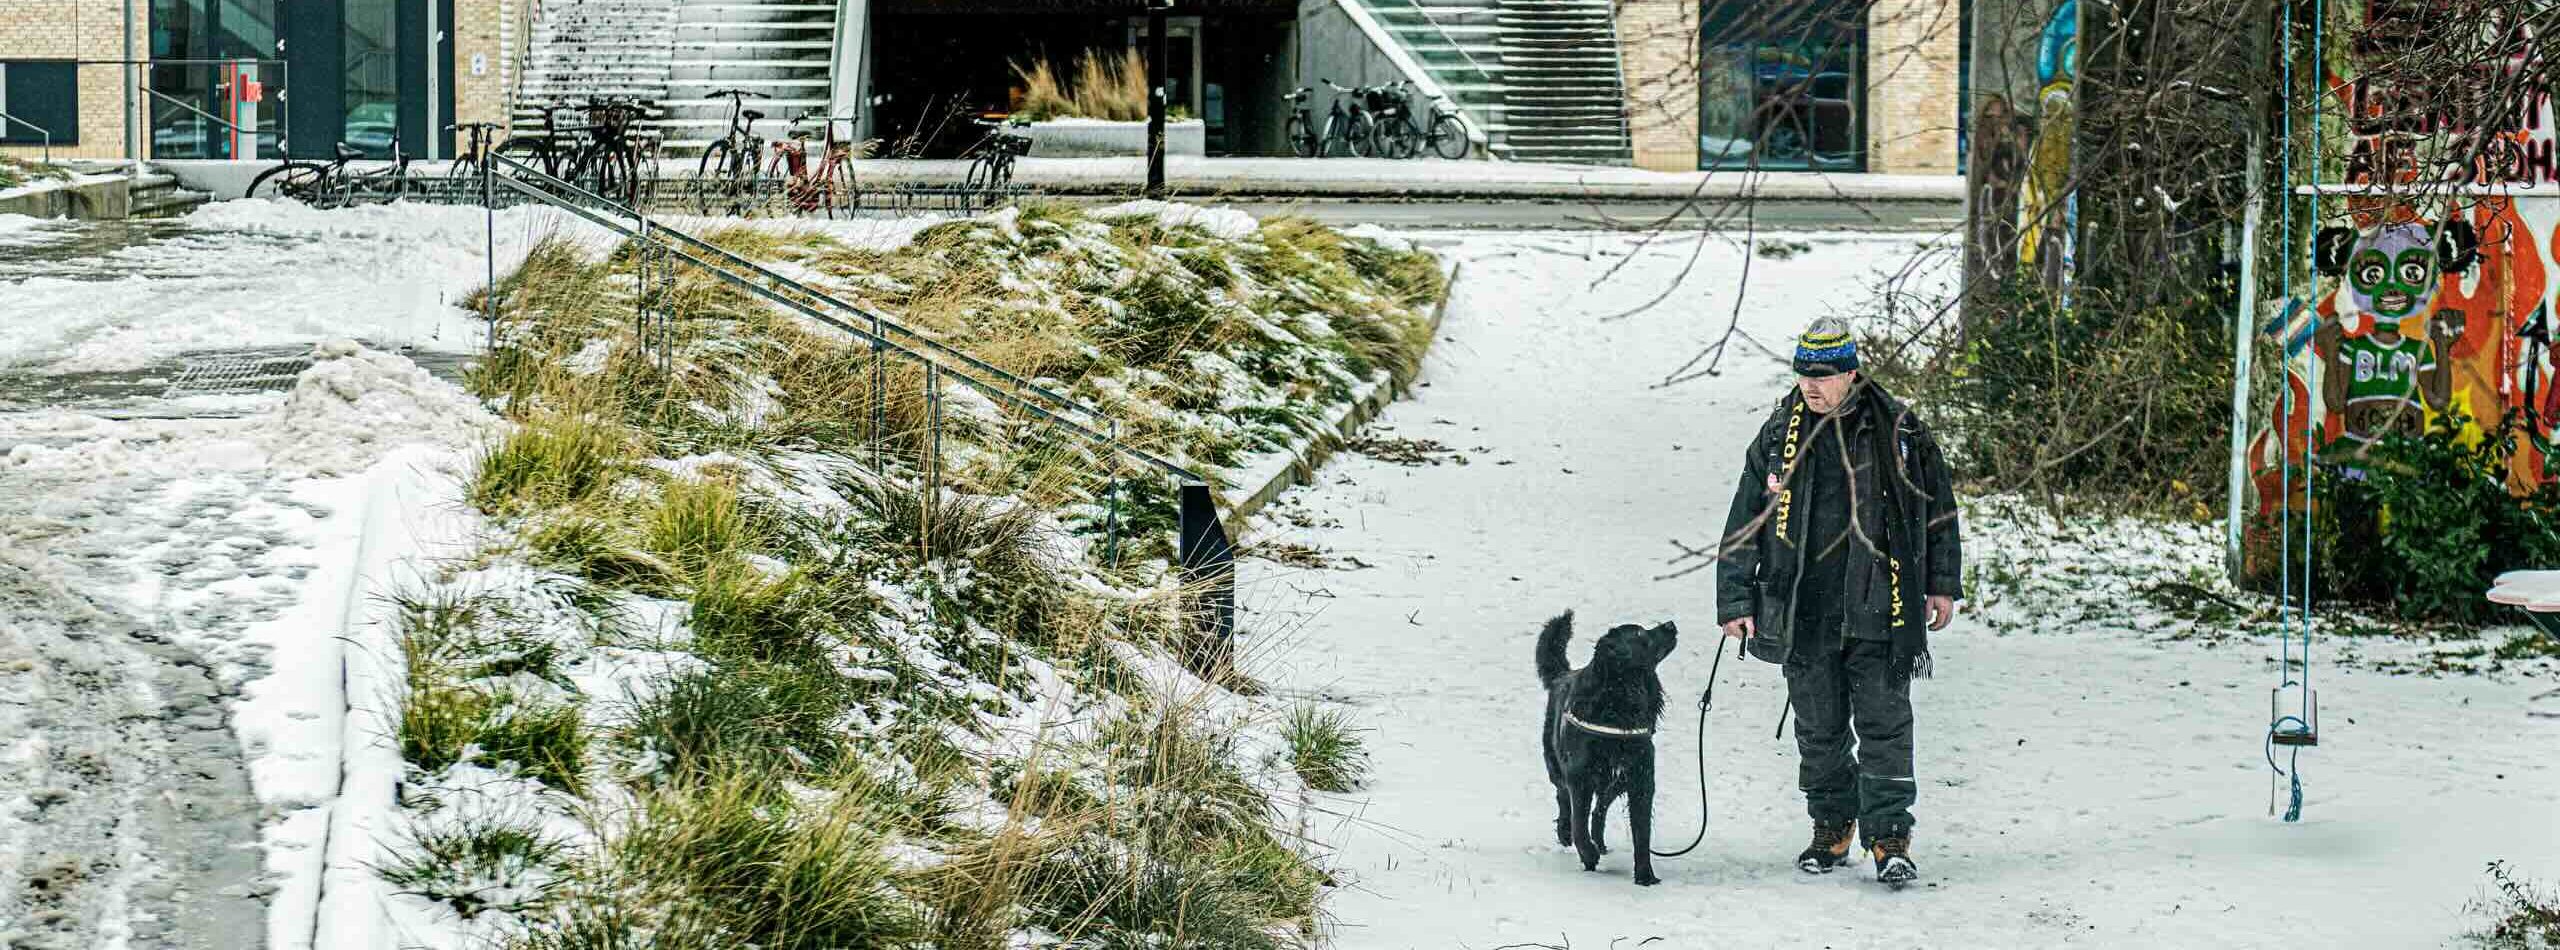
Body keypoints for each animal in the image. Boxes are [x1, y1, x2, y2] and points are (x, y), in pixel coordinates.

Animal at [1536, 614, 1679, 891]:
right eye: (1641, 635)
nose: (1671, 624)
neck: (1620, 702)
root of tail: (1563, 675)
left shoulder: (1640, 779)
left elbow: (1641, 833)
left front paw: (1645, 876)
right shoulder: (1579, 779)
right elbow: (1579, 825)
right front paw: (1588, 855)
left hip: (1614, 781)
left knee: (1599, 810)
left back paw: (1599, 842)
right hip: (1556, 765)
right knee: (1563, 798)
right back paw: (1566, 833)